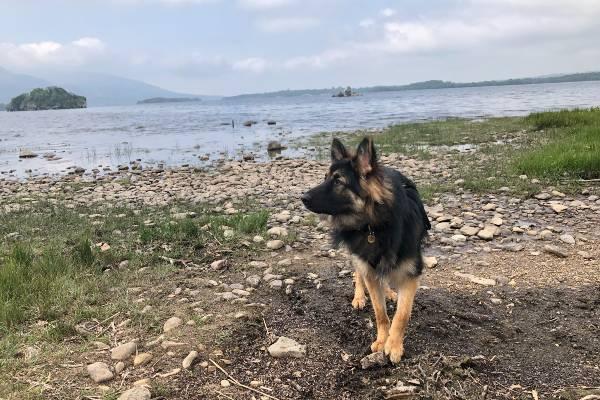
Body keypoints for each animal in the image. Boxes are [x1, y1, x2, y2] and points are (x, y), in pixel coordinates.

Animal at [302, 137, 428, 362]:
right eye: (325, 177)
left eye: (338, 181)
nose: (303, 197)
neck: (373, 225)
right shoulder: (367, 266)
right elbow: (380, 313)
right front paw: (382, 340)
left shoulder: (411, 274)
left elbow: (402, 315)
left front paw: (394, 345)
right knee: (358, 274)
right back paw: (360, 296)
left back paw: (388, 292)